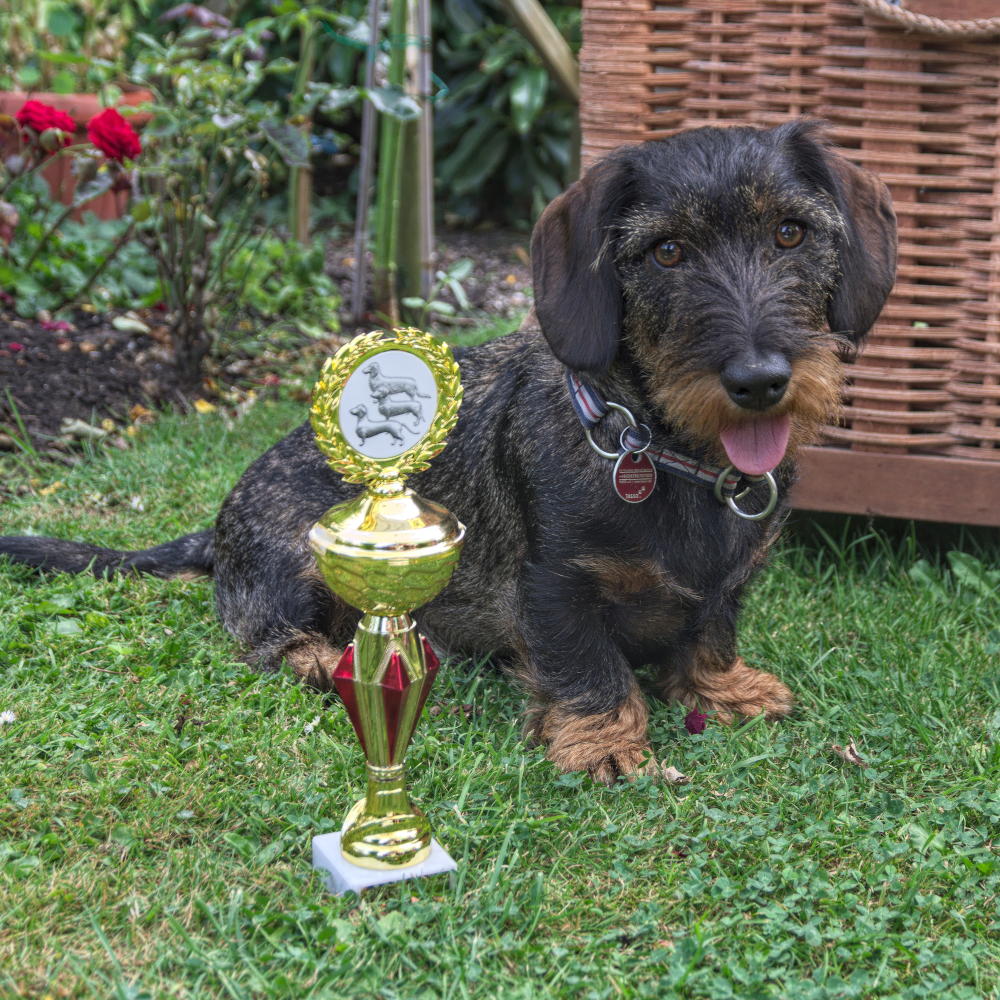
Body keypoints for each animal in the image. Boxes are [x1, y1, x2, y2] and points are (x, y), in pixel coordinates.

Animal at [0, 122, 896, 783]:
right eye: (667, 252)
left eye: (791, 233)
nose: (759, 380)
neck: (664, 451)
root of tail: (219, 526)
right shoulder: (554, 586)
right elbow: (588, 665)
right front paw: (604, 740)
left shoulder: (729, 580)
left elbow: (710, 628)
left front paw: (722, 686)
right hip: (300, 559)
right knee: (261, 639)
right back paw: (323, 660)